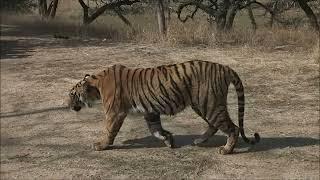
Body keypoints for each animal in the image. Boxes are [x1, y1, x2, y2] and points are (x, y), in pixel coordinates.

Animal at [68, 59, 260, 154]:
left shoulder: (114, 113)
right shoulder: (150, 111)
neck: (96, 84)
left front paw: (101, 145)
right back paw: (199, 141)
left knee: (233, 128)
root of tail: (225, 67)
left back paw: (226, 150)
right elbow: (155, 129)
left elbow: (109, 130)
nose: (67, 105)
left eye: (71, 94)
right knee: (214, 125)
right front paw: (168, 139)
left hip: (210, 104)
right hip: (202, 105)